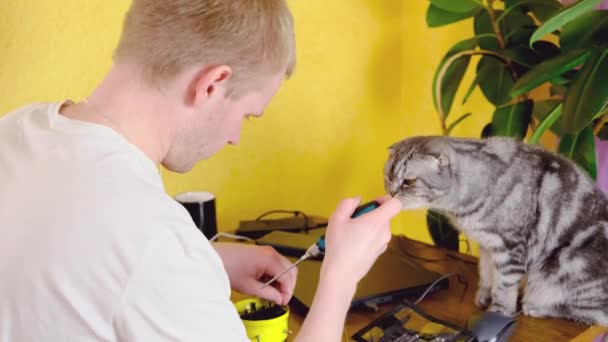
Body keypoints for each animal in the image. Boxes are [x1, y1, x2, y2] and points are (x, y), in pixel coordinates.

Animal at [384, 135, 608, 324]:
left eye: (409, 182)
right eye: (388, 177)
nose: (391, 193)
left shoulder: (509, 247)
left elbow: (504, 285)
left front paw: (499, 311)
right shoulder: (487, 245)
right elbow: (486, 274)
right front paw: (483, 297)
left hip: (565, 268)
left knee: (590, 314)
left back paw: (533, 306)